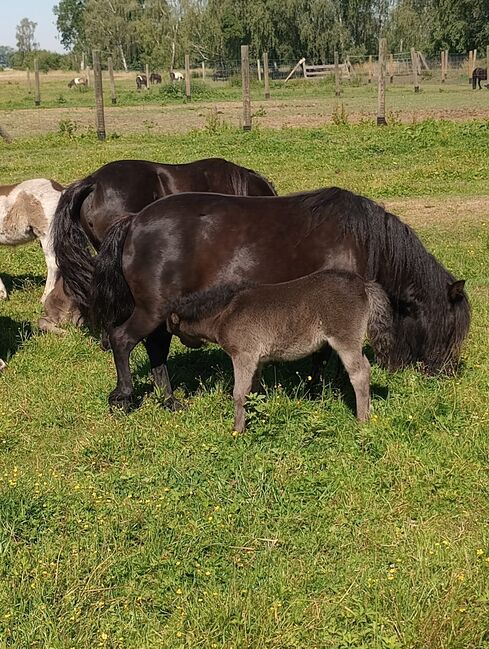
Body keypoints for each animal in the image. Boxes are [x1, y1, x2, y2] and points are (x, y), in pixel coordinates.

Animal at [88, 187, 468, 410]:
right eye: (452, 328)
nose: (446, 373)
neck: (359, 240)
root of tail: (134, 221)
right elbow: (322, 355)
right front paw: (317, 392)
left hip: (164, 314)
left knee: (155, 349)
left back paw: (169, 400)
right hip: (152, 310)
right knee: (122, 340)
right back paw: (124, 397)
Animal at [168, 268, 392, 430]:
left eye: (175, 332)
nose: (189, 344)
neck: (226, 312)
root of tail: (363, 284)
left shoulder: (243, 356)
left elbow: (239, 393)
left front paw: (238, 430)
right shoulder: (256, 360)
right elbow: (253, 390)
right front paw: (255, 417)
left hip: (345, 341)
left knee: (360, 373)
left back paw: (362, 419)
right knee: (366, 369)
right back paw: (369, 410)